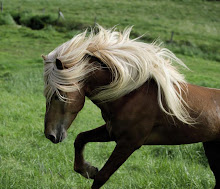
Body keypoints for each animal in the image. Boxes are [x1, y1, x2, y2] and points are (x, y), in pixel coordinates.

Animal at [42, 25, 220, 188]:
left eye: (59, 95)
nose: (50, 135)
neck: (129, 95)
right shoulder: (111, 131)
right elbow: (80, 138)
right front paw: (87, 170)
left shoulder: (129, 143)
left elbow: (101, 177)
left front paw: (91, 171)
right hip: (211, 147)